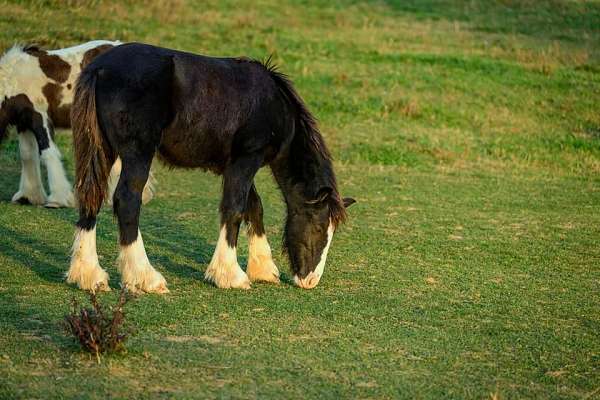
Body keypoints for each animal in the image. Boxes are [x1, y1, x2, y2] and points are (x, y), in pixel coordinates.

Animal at [0, 40, 155, 208]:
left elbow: (48, 153)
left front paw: (57, 199)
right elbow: (27, 154)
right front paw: (28, 196)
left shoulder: (39, 116)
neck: (13, 79)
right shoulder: (23, 122)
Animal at [68, 43, 354, 294]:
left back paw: (88, 275)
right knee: (127, 201)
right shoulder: (246, 160)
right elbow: (235, 209)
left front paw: (263, 269)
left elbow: (254, 207)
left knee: (91, 196)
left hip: (104, 150)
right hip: (137, 153)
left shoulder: (234, 165)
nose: (310, 280)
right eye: (319, 227)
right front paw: (230, 275)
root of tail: (100, 68)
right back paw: (145, 277)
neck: (274, 104)